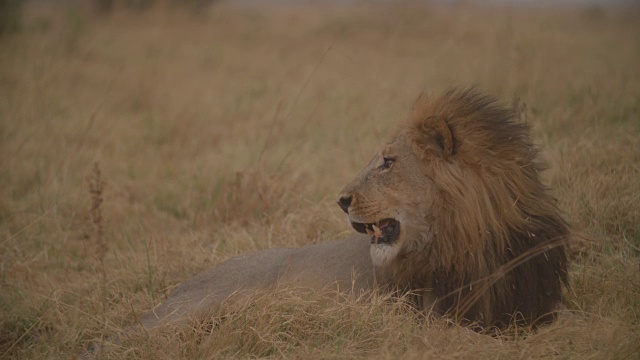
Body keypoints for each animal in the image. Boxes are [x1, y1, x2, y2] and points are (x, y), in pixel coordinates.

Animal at [134, 88, 564, 334]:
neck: (472, 239)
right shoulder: (424, 318)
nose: (340, 200)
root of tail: (182, 285)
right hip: (199, 306)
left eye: (387, 162)